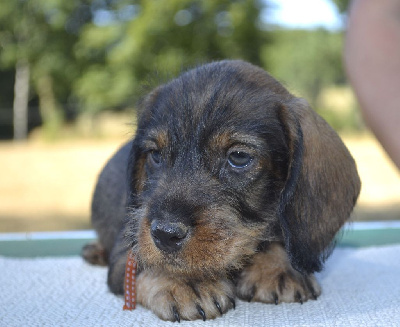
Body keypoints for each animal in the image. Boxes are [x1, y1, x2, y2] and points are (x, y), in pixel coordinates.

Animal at [83, 60, 360, 322]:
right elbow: (149, 261)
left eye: (238, 157)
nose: (165, 234)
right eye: (155, 155)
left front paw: (279, 268)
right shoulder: (125, 255)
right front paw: (182, 280)